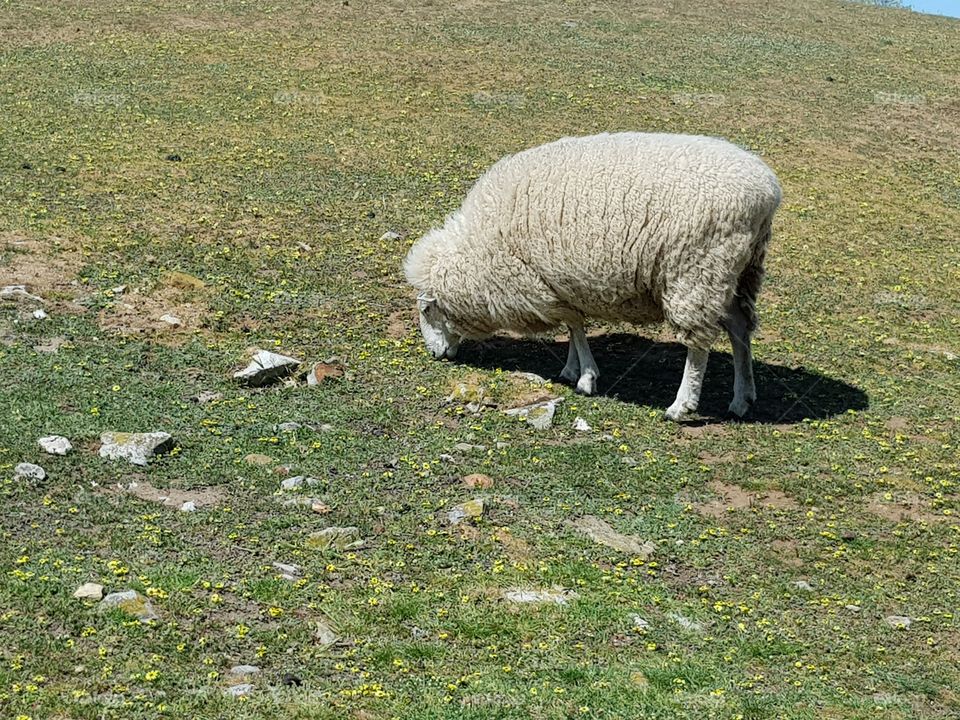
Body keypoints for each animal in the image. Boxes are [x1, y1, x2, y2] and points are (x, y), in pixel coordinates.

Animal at [403, 132, 782, 420]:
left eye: (426, 310)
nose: (434, 354)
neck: (480, 248)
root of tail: (767, 189)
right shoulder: (563, 282)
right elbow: (575, 327)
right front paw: (573, 369)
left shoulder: (543, 283)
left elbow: (575, 325)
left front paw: (586, 377)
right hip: (739, 271)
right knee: (740, 328)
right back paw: (742, 398)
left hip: (696, 272)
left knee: (699, 346)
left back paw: (681, 405)